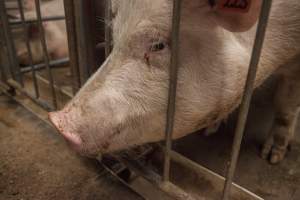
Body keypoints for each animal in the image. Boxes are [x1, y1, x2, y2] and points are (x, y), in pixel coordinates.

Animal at [48, 0, 300, 164]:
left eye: (158, 45)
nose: (56, 121)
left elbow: (286, 106)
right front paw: (209, 131)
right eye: (115, 33)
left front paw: (272, 157)